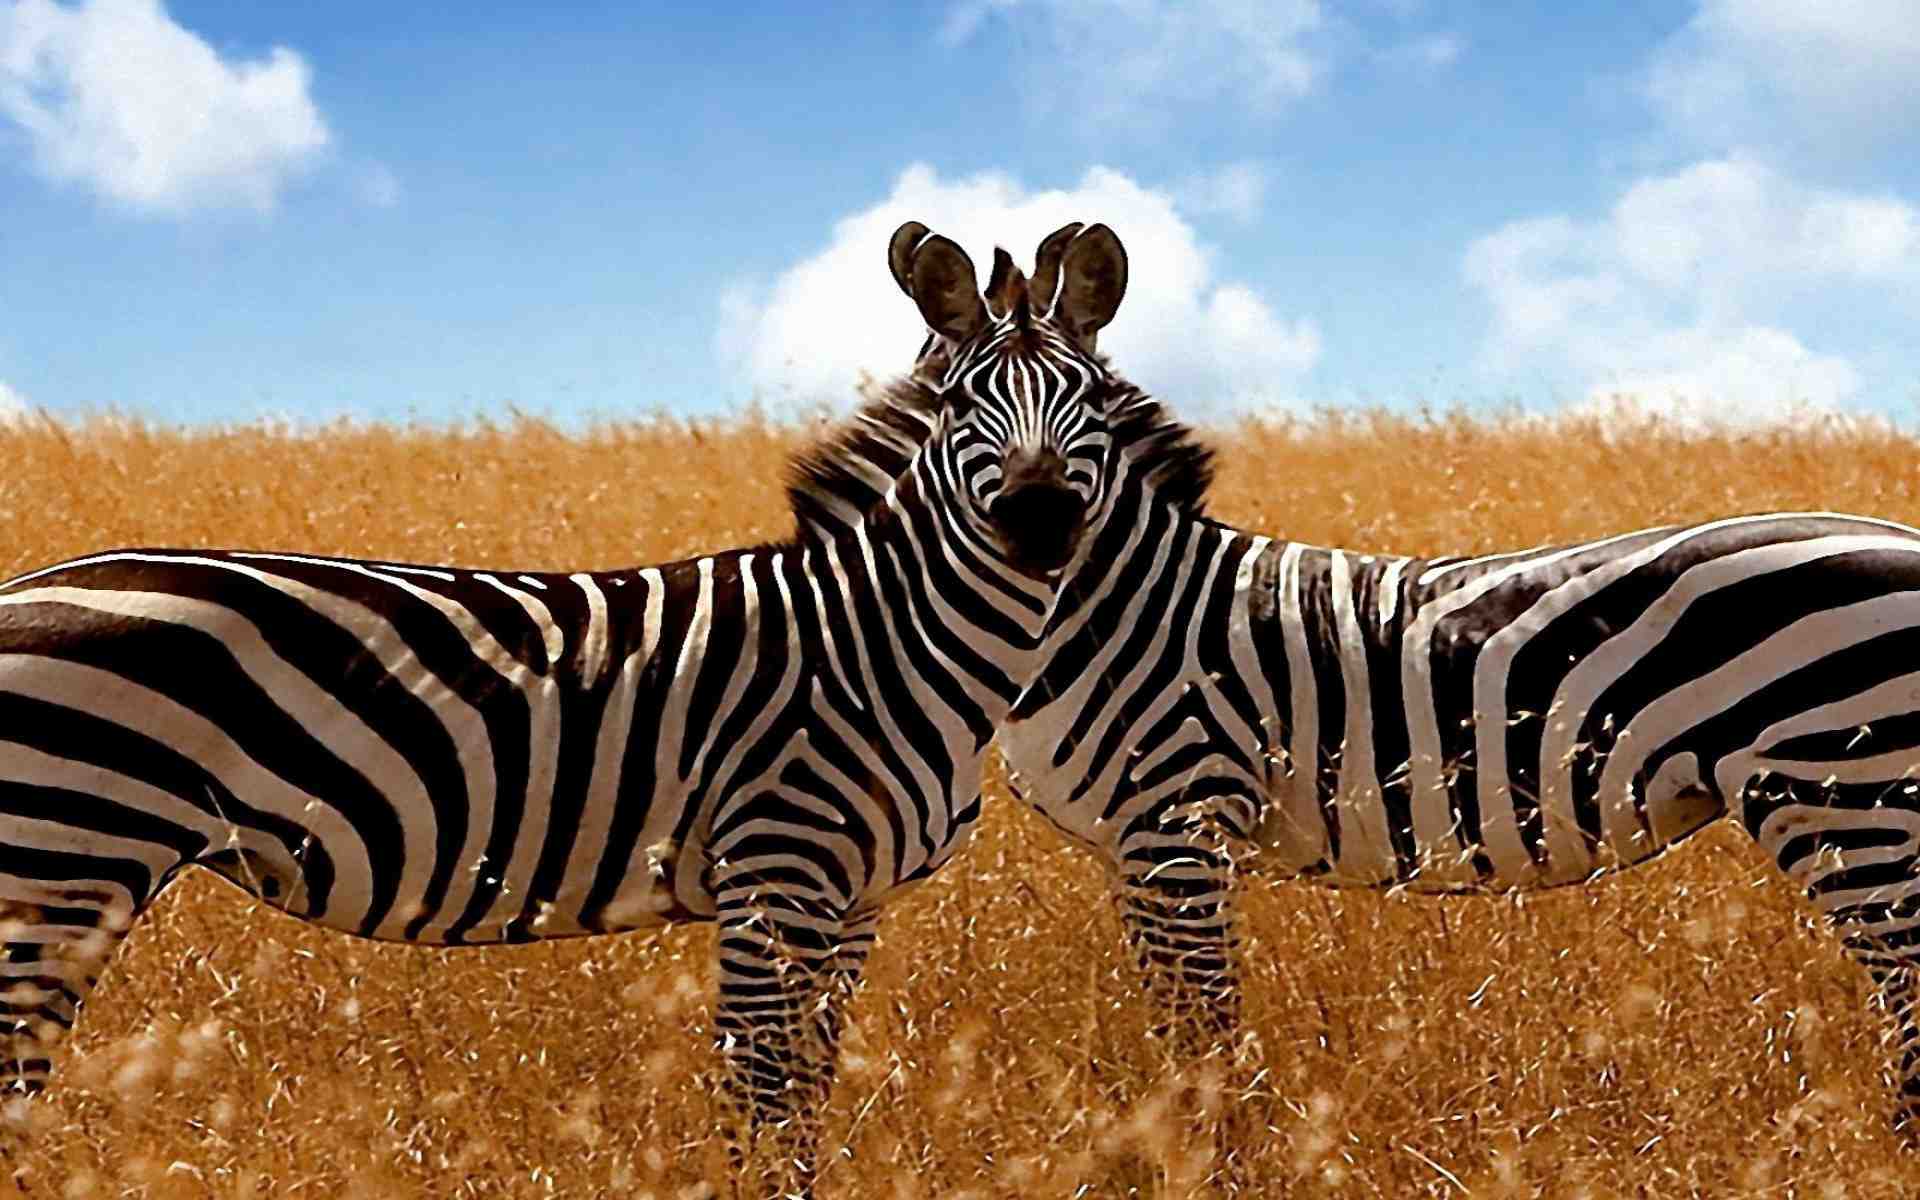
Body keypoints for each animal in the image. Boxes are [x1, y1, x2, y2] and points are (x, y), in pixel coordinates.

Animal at [0, 220, 1132, 1194]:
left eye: (1095, 404)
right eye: (964, 405)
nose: (1039, 519)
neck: (885, 633)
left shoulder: (852, 902)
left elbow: (806, 1097)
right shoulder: (777, 868)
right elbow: (762, 1099)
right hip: (63, 862)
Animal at [799, 222, 1920, 1133]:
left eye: (1092, 409)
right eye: (960, 406)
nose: (1039, 523)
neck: (1116, 607)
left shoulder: (1179, 824)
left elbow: (1206, 1043)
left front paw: (1216, 1161)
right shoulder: (1141, 847)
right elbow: (1183, 1037)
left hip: (1848, 799)